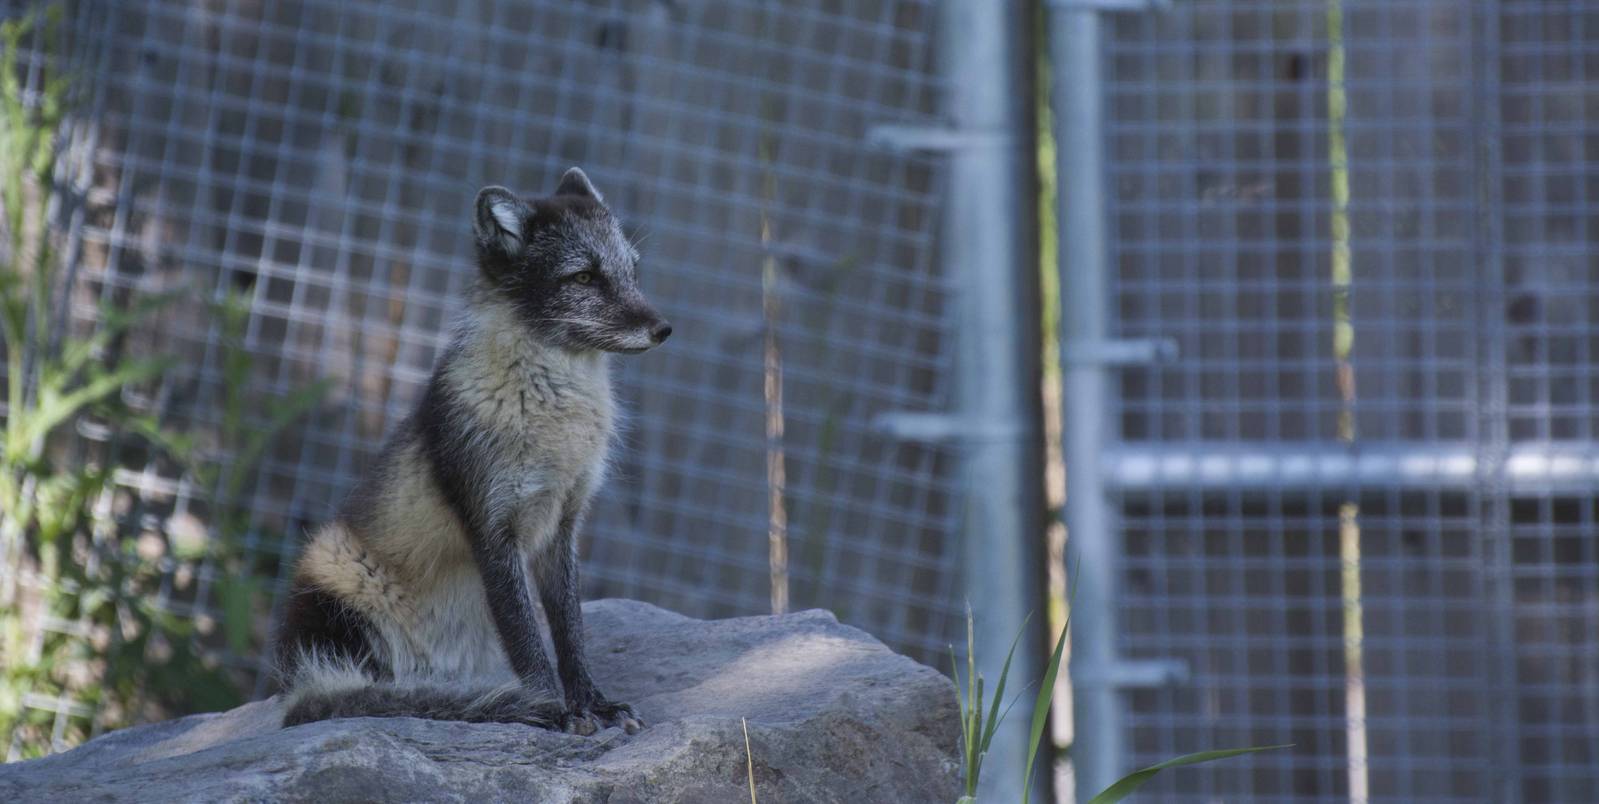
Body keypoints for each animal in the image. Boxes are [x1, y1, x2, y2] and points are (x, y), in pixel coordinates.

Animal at [272, 167, 670, 735]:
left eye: (632, 271)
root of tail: (292, 688)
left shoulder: (563, 525)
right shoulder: (492, 527)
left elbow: (570, 635)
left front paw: (592, 701)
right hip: (331, 569)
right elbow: (527, 641)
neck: (554, 407)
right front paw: (552, 709)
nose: (663, 329)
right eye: (583, 278)